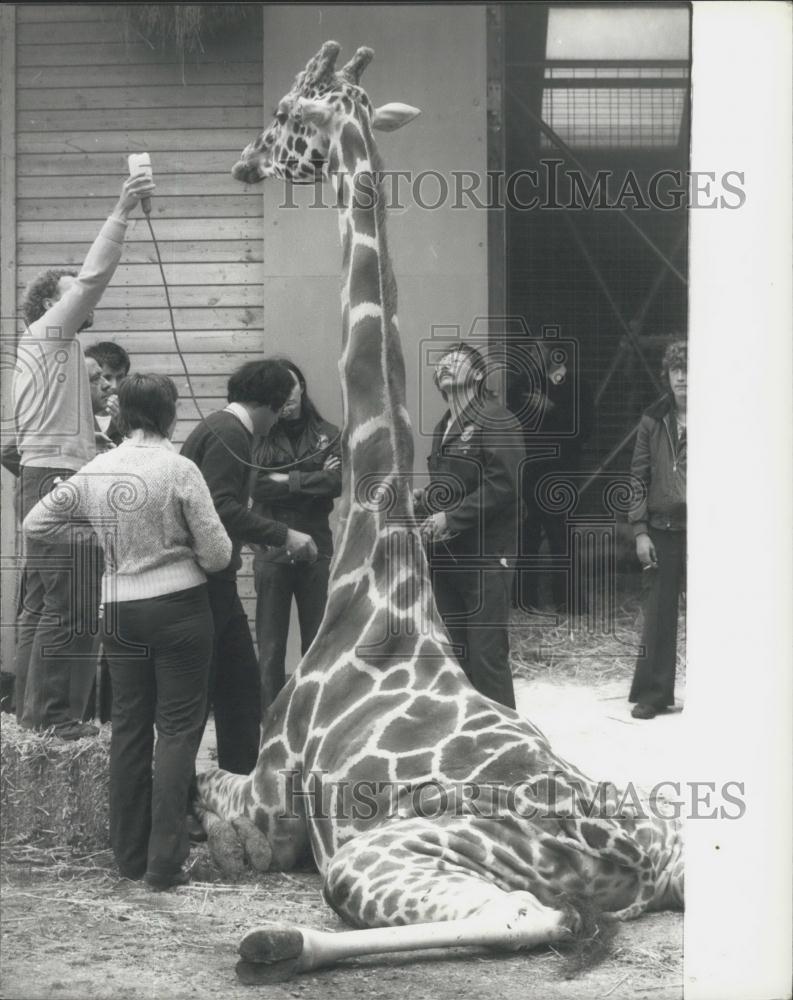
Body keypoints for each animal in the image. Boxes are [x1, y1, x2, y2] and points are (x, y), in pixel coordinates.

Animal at [195, 43, 684, 980]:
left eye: (284, 116)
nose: (241, 161)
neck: (370, 570)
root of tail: (627, 862)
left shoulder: (266, 808)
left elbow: (205, 794)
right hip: (668, 832)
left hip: (389, 852)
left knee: (531, 915)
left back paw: (271, 944)